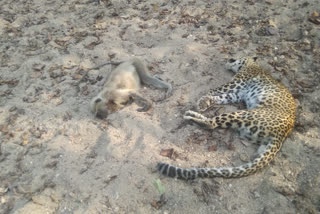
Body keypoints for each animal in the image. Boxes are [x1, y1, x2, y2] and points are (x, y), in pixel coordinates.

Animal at [156, 56, 296, 179]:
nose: (229, 58)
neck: (251, 64)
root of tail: (282, 134)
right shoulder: (238, 93)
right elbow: (222, 97)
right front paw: (205, 102)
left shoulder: (236, 83)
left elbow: (215, 89)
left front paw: (202, 100)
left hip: (243, 113)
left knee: (211, 124)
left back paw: (191, 116)